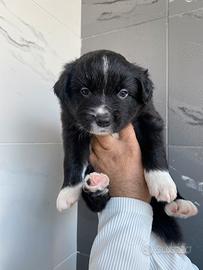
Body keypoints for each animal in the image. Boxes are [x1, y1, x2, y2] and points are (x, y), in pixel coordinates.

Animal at [53, 49, 197, 244]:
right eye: (84, 91)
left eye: (123, 93)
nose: (103, 120)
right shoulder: (72, 129)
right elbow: (72, 160)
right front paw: (67, 191)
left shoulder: (148, 119)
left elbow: (155, 150)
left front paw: (161, 182)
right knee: (98, 204)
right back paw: (95, 186)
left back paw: (179, 204)